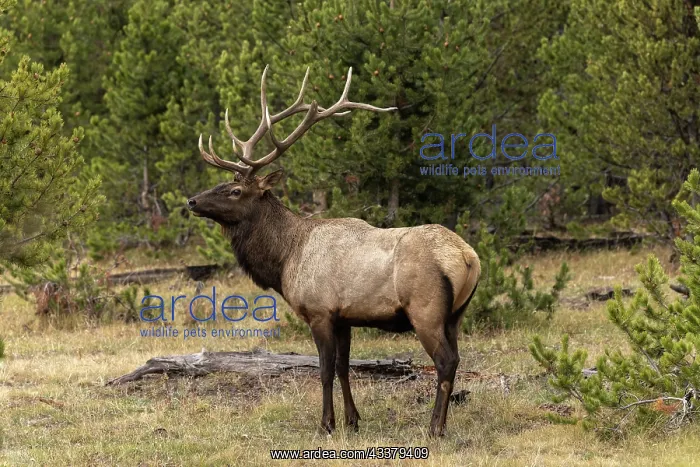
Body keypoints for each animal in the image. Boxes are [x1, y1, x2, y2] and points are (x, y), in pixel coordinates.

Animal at [187, 65, 481, 437]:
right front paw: (353, 420)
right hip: (456, 314)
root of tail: (468, 257)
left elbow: (324, 370)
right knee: (456, 358)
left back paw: (434, 428)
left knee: (445, 361)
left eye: (235, 190)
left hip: (425, 309)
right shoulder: (345, 317)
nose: (192, 201)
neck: (284, 260)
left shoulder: (320, 311)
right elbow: (344, 367)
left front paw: (326, 423)